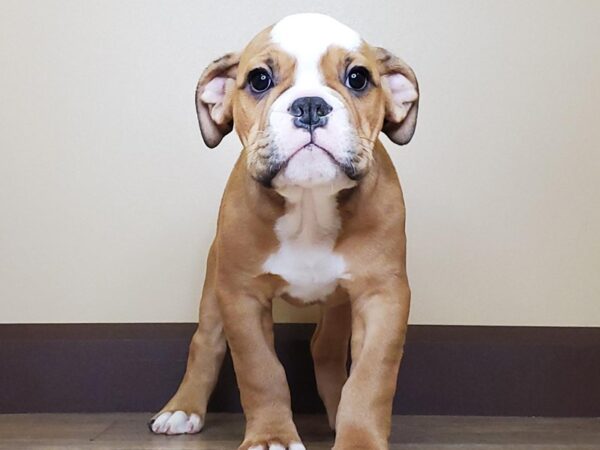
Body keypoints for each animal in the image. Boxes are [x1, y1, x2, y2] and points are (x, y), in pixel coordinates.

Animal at [149, 13, 420, 450]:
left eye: (358, 77)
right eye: (260, 79)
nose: (310, 105)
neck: (309, 205)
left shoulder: (383, 296)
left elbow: (371, 378)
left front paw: (358, 436)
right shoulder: (241, 296)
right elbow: (261, 370)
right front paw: (271, 437)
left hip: (339, 302)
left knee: (325, 348)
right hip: (214, 287)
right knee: (206, 342)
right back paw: (182, 408)